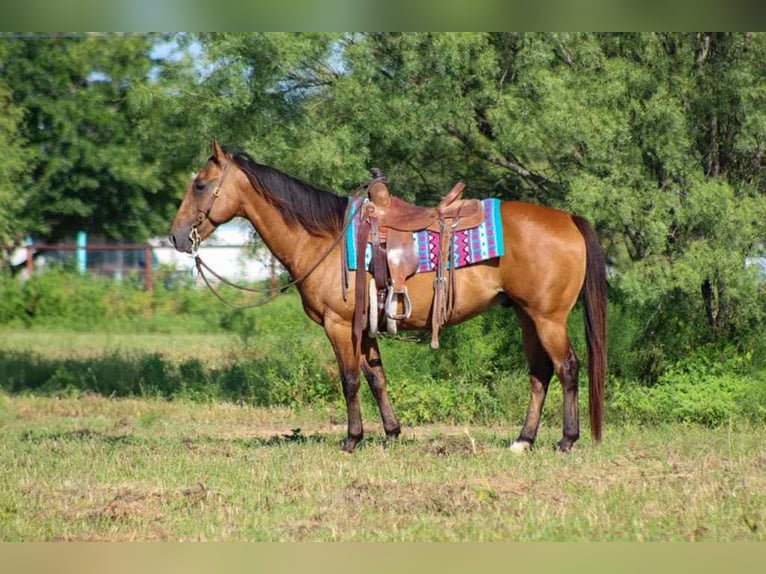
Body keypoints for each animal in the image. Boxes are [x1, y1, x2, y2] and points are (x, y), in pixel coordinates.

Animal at [169, 141, 607, 453]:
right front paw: (392, 433)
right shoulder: (365, 327)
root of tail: (569, 219)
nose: (175, 237)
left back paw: (566, 440)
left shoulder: (339, 324)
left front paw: (352, 439)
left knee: (567, 368)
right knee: (541, 373)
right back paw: (523, 440)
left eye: (200, 185)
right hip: (526, 315)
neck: (324, 238)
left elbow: (349, 379)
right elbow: (376, 377)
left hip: (548, 318)